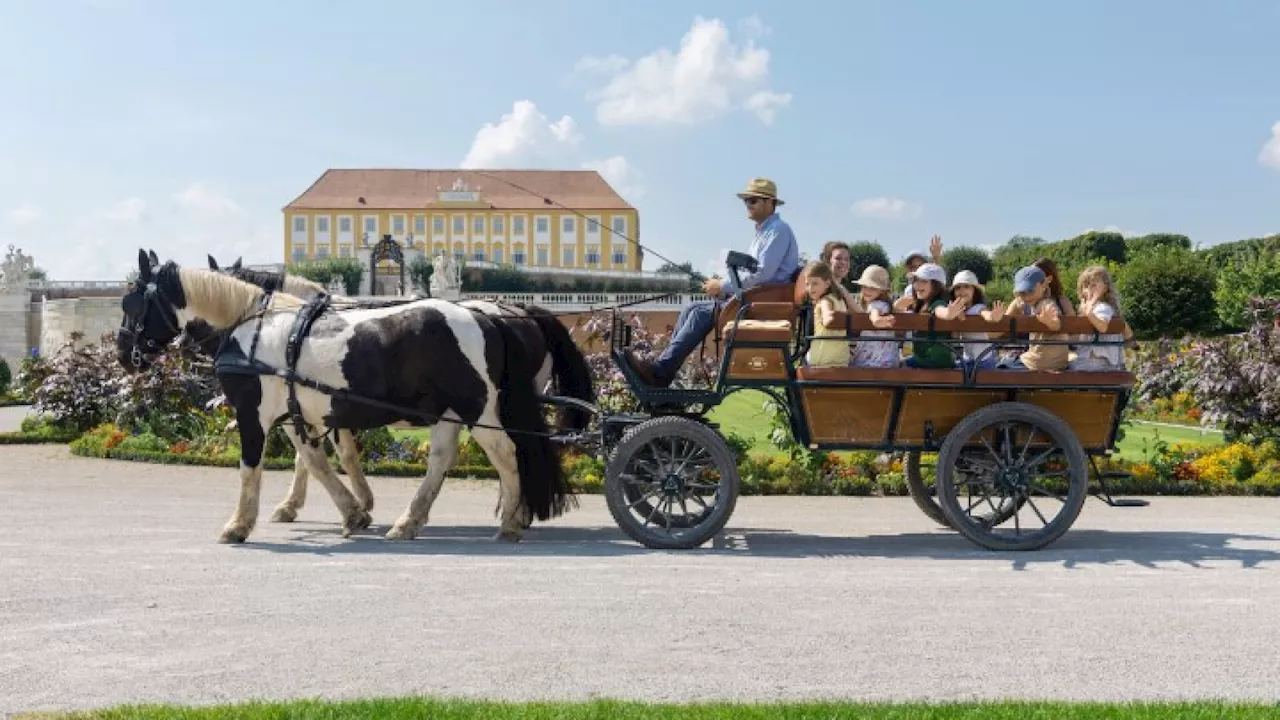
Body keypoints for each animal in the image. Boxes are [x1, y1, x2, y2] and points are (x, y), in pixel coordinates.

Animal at [120, 249, 581, 540]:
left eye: (130, 304)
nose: (125, 354)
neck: (256, 325)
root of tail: (489, 316)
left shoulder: (256, 414)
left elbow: (256, 467)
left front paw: (240, 524)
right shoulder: (303, 413)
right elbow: (318, 461)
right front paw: (352, 510)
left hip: (477, 409)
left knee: (506, 453)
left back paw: (511, 520)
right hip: (447, 412)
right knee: (443, 459)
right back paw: (411, 521)